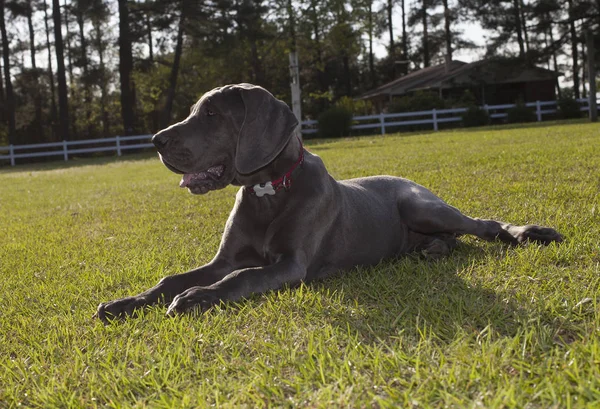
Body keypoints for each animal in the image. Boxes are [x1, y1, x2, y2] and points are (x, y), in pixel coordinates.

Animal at [95, 82, 564, 318]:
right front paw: (126, 303)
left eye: (212, 114)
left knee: (482, 225)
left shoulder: (291, 264)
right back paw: (429, 251)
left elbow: (238, 279)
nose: (156, 141)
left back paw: (529, 232)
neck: (270, 189)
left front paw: (196, 298)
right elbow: (171, 279)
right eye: (196, 111)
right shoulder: (223, 258)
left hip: (421, 205)